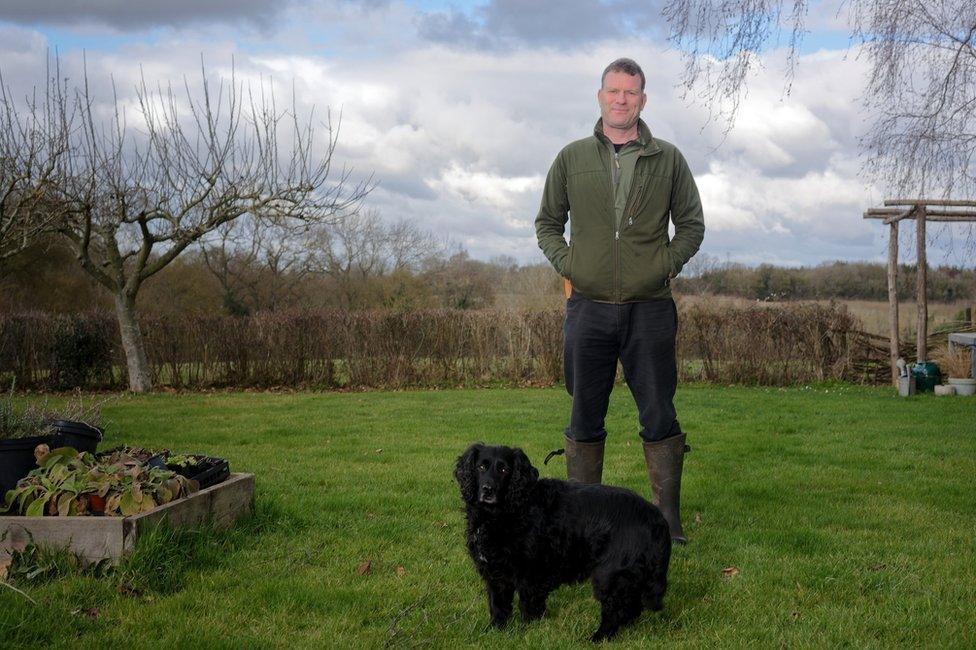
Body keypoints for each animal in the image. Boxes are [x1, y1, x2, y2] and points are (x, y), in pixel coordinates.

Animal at [456, 440, 672, 636]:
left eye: (504, 469)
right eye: (481, 467)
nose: (487, 489)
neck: (507, 512)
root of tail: (656, 516)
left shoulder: (531, 573)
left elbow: (528, 606)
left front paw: (530, 630)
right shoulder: (496, 572)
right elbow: (497, 605)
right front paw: (495, 630)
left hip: (609, 573)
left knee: (616, 609)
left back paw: (599, 637)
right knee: (631, 606)